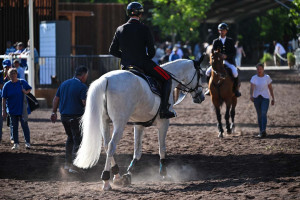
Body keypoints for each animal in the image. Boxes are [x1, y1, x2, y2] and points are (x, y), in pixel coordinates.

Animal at [73, 58, 204, 191]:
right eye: (200, 74)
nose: (201, 97)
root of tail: (106, 79)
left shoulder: (139, 124)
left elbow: (137, 151)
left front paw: (129, 173)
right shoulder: (163, 123)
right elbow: (162, 148)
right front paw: (164, 173)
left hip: (104, 121)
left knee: (106, 145)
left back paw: (117, 176)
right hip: (120, 123)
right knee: (111, 146)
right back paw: (106, 181)